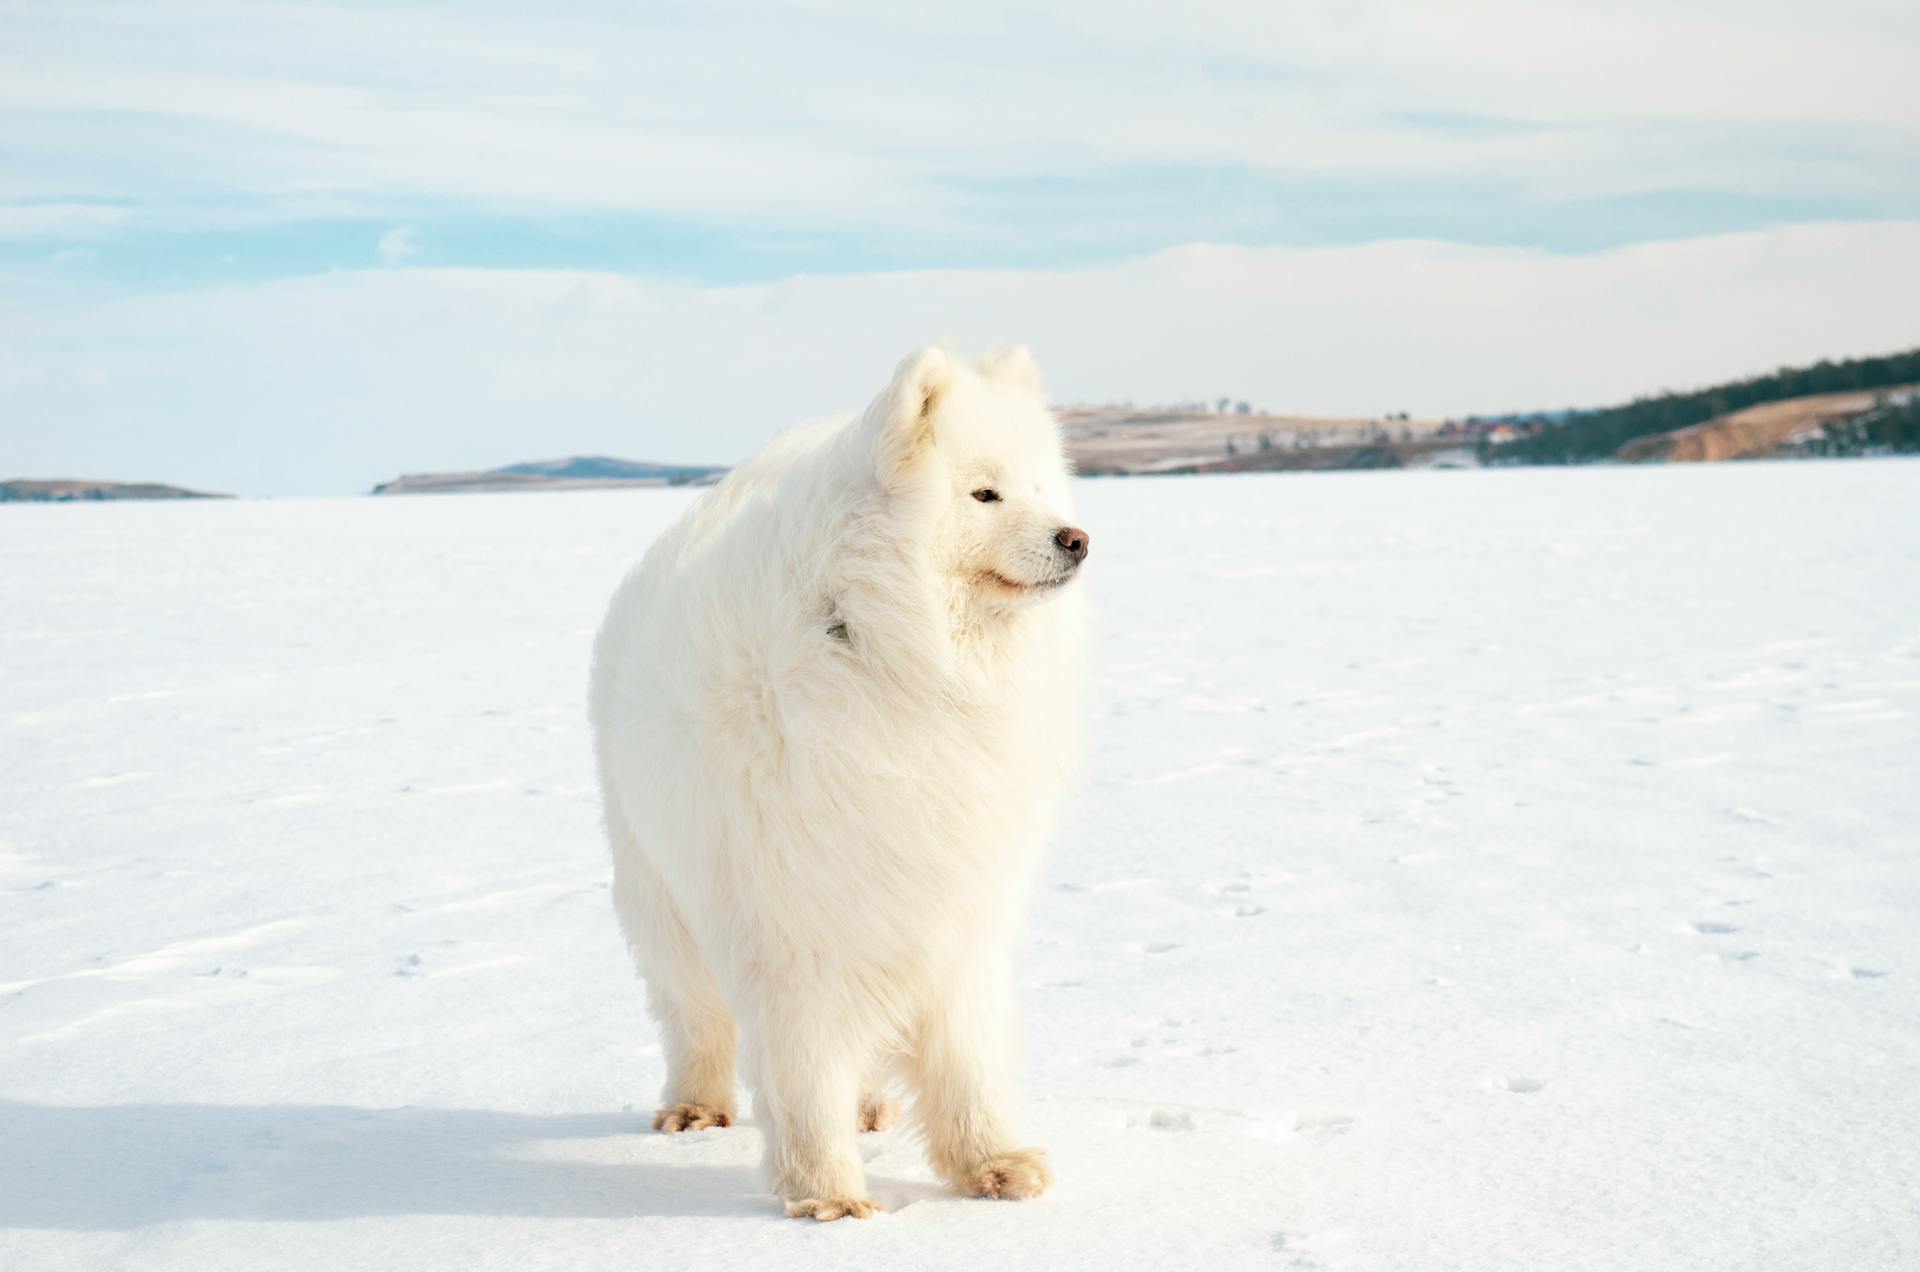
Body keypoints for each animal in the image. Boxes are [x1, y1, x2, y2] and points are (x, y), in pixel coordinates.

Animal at [583, 343, 1098, 1222]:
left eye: (1041, 488)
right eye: (984, 492)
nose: (1077, 539)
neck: (882, 648)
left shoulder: (951, 904)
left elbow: (966, 1054)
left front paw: (993, 1164)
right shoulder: (794, 915)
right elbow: (803, 1062)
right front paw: (827, 1194)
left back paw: (869, 1106)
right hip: (660, 893)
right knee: (694, 1016)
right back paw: (695, 1106)